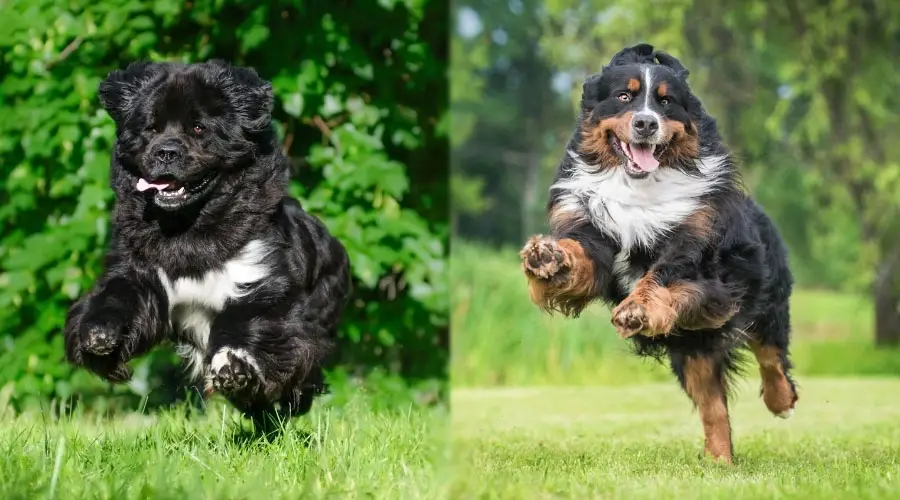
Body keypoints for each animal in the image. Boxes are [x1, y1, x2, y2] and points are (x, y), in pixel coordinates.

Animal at [524, 45, 800, 462]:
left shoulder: (701, 260)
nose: (645, 124)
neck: (639, 186)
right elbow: (581, 256)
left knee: (771, 354)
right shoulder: (595, 236)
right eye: (624, 96)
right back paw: (720, 462)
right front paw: (549, 258)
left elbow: (664, 276)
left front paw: (638, 310)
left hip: (763, 296)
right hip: (692, 351)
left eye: (666, 102)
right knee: (714, 409)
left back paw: (780, 401)